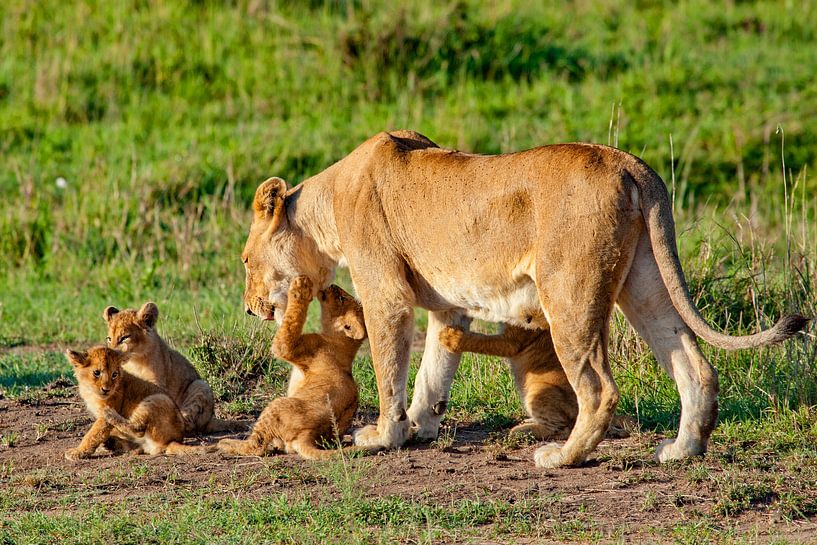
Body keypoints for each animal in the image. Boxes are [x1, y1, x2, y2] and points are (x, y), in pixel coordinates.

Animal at [65, 346, 211, 460]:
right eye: (97, 372)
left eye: (114, 375)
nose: (106, 390)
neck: (90, 390)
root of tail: (173, 440)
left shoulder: (105, 416)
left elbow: (93, 434)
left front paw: (78, 452)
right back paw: (112, 444)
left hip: (156, 399)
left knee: (138, 429)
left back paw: (110, 416)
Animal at [104, 302, 243, 435]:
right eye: (109, 339)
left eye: (124, 338)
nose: (110, 354)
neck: (135, 361)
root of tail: (209, 420)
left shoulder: (156, 385)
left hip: (200, 385)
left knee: (186, 425)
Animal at [219, 275, 370, 460]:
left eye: (342, 298)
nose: (332, 285)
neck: (341, 341)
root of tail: (307, 435)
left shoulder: (291, 346)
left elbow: (291, 321)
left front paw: (301, 287)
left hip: (278, 404)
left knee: (257, 447)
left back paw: (225, 443)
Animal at [439, 324, 634, 440]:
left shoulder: (512, 341)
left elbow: (482, 341)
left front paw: (450, 337)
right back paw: (526, 422)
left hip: (540, 391)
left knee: (562, 429)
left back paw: (519, 431)